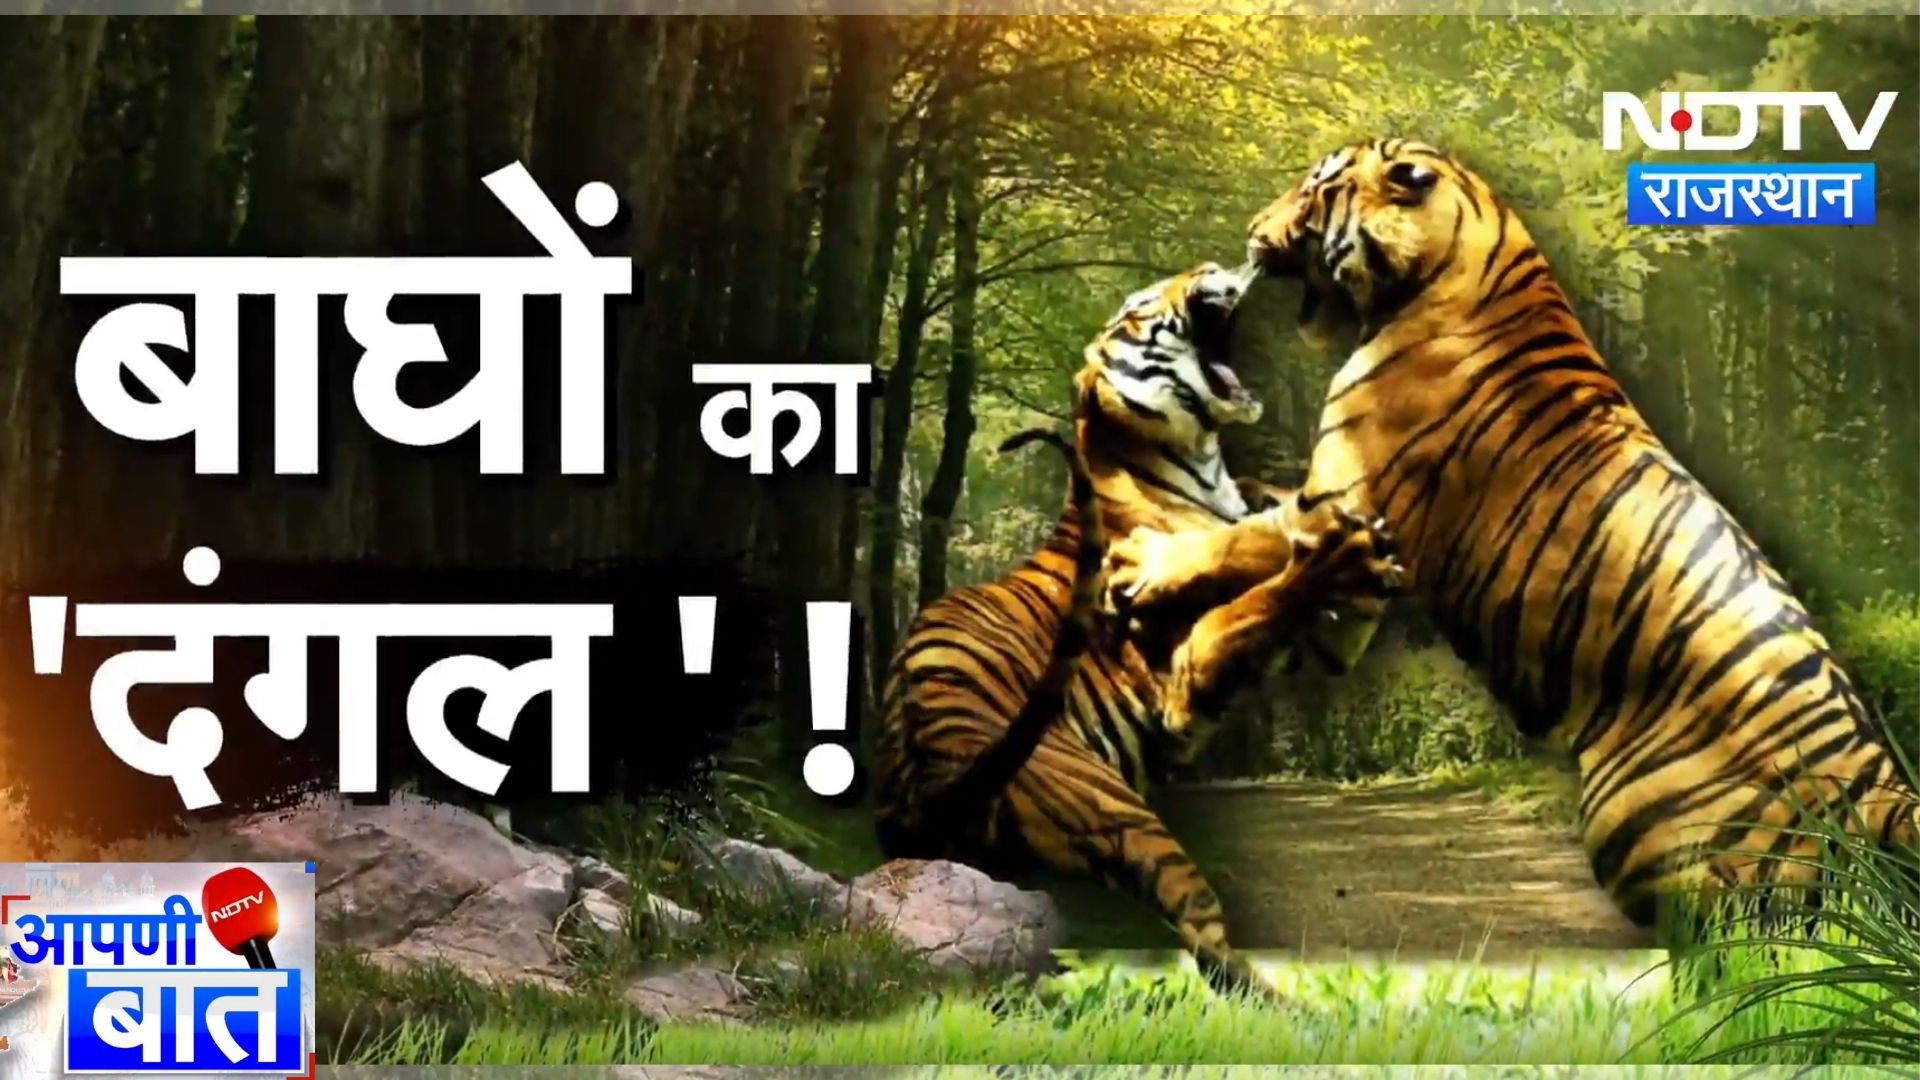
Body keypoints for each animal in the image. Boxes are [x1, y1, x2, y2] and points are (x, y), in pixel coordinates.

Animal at [872, 261, 1406, 1000]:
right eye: (1142, 302)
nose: (1211, 269)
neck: (1201, 460)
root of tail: (921, 774)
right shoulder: (1182, 679)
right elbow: (1250, 575)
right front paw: (1323, 537)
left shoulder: (1319, 645)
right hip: (1125, 816)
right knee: (1212, 953)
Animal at [1105, 138, 1918, 937]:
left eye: (1315, 189)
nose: (1250, 229)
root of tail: (1879, 778)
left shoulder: (1338, 513)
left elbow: (1237, 545)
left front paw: (1147, 563)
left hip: (1639, 825)